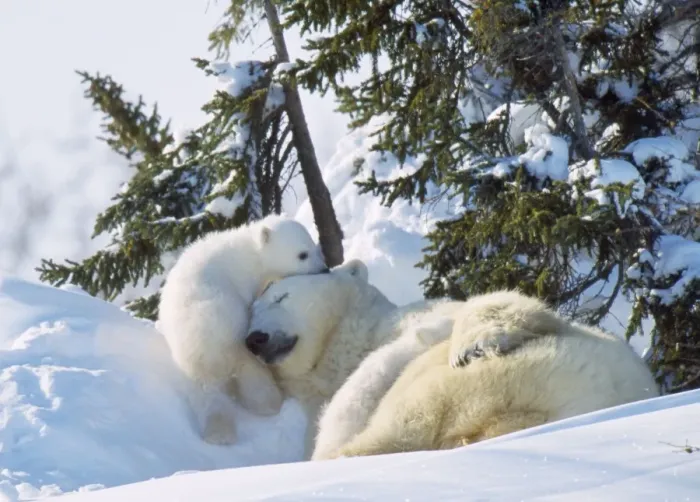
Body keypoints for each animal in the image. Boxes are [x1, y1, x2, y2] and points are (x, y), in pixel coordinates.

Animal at [157, 214, 328, 445]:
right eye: (303, 254)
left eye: (313, 246)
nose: (324, 269)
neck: (250, 253)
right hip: (232, 333)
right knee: (251, 373)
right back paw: (269, 403)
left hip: (191, 359)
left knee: (208, 394)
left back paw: (219, 433)